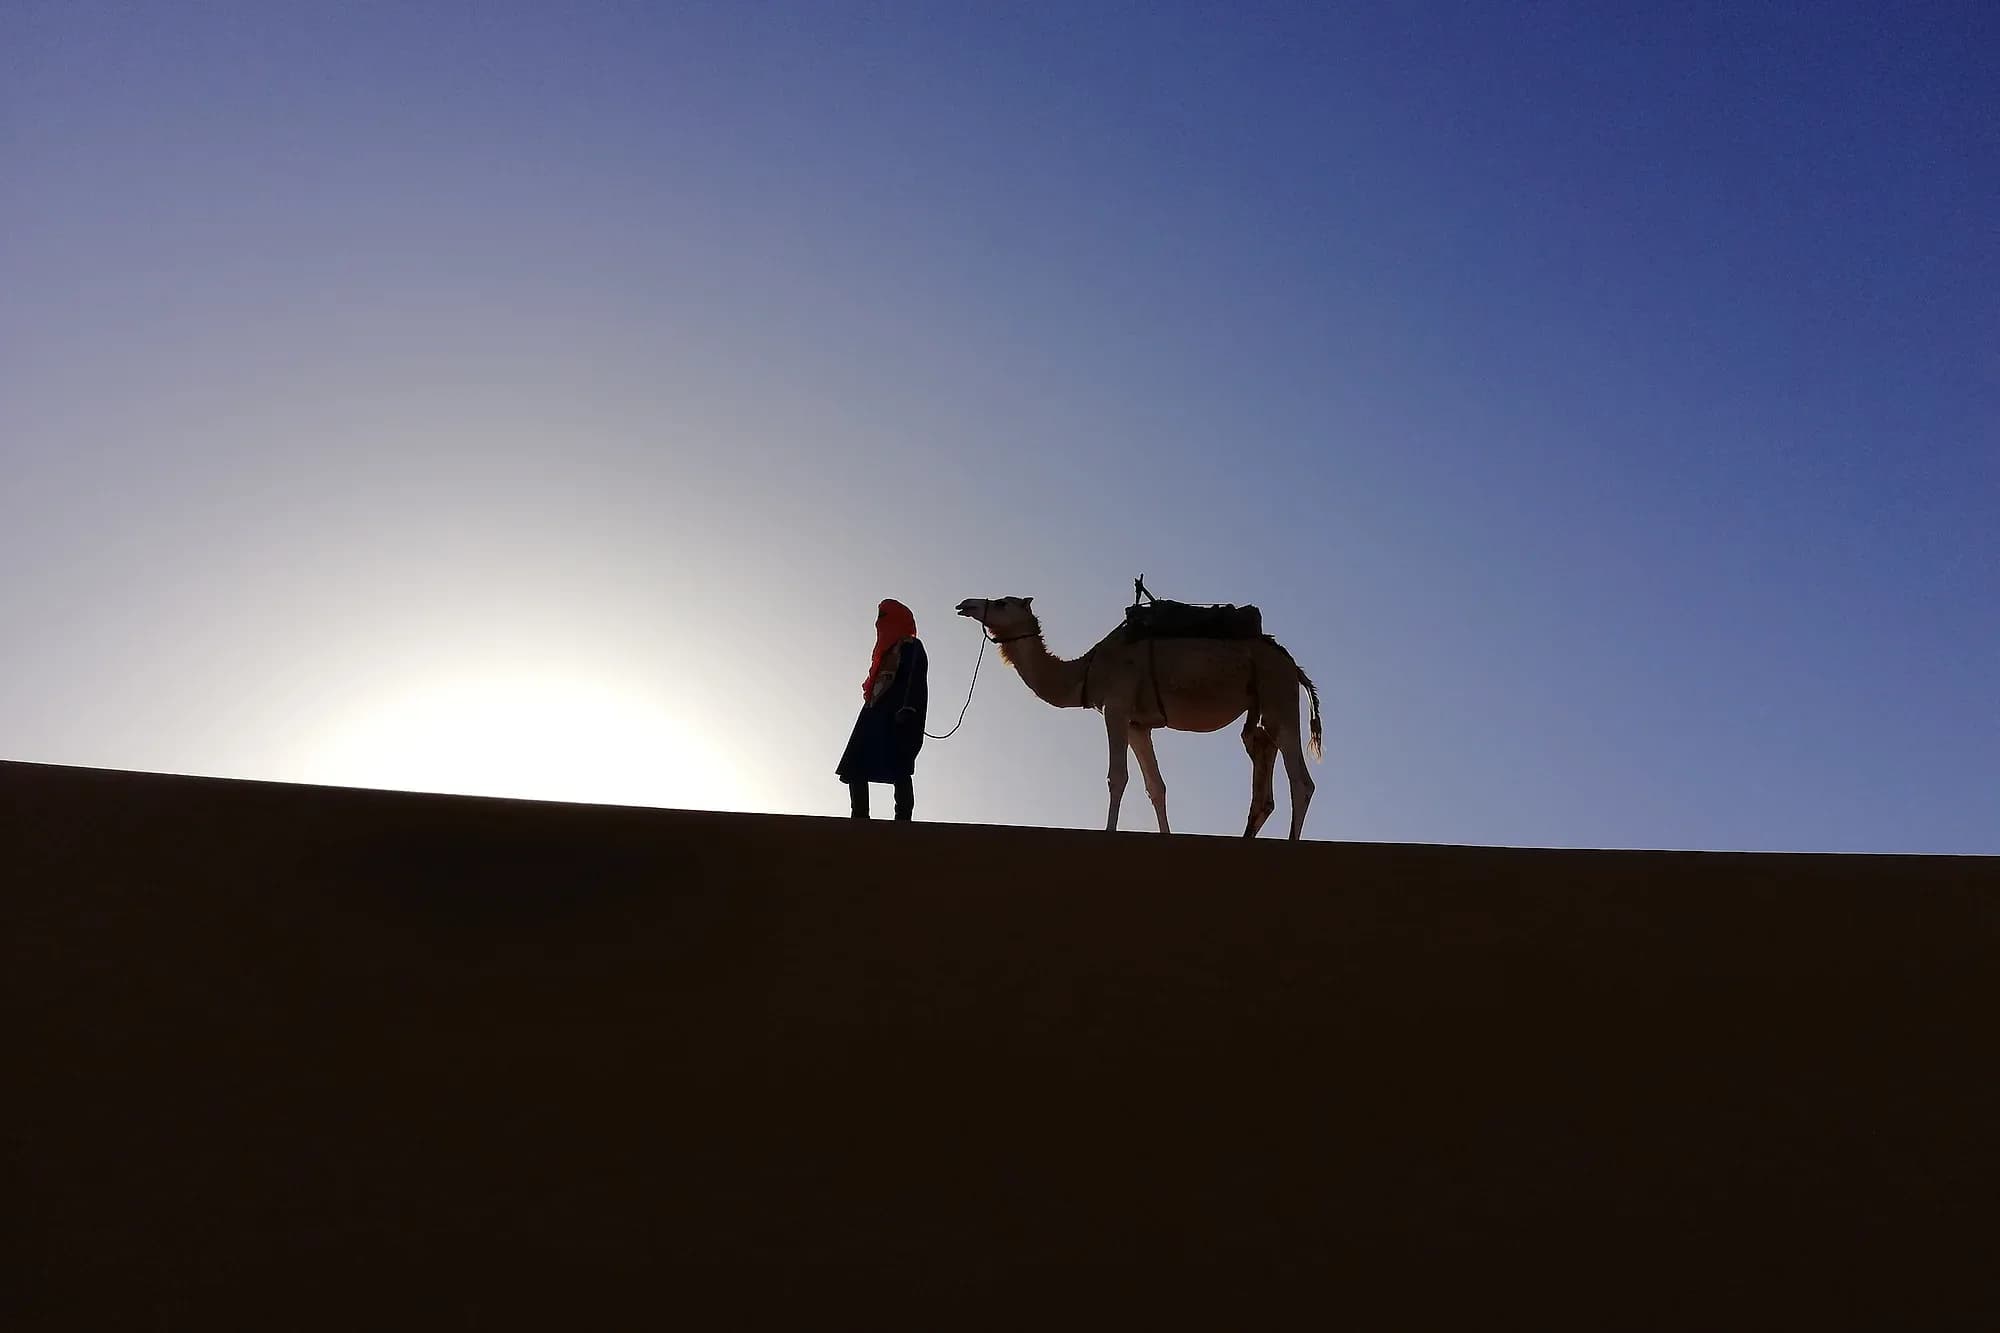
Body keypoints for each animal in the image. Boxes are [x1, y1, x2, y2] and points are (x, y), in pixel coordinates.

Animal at [955, 597, 1324, 839]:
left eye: (1002, 602)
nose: (966, 604)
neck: (1087, 670)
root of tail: (1292, 664)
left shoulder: (1116, 707)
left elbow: (1117, 777)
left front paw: (1108, 831)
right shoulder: (1137, 724)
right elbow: (1155, 786)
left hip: (1278, 693)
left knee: (1300, 779)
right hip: (1260, 705)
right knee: (1261, 755)